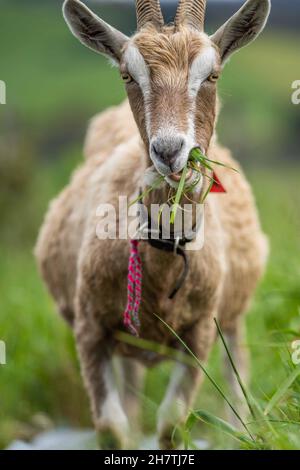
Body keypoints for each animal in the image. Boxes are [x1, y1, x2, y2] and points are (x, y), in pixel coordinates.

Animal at [35, 0, 270, 448]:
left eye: (212, 74)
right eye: (128, 75)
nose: (169, 150)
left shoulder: (199, 333)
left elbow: (171, 424)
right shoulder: (91, 329)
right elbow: (112, 429)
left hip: (233, 316)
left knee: (238, 371)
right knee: (130, 394)